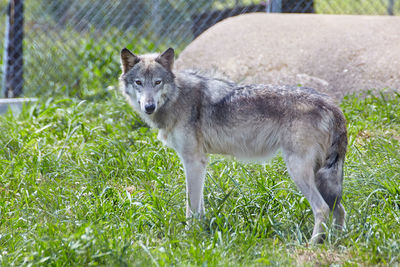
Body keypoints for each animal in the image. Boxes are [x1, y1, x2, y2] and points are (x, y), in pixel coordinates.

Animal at [118, 47, 346, 244]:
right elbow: (199, 205)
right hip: (321, 175)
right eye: (139, 82)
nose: (149, 106)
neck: (177, 97)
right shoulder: (200, 163)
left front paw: (189, 236)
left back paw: (313, 244)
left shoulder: (193, 161)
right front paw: (203, 232)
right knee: (339, 209)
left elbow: (191, 205)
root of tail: (331, 105)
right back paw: (336, 242)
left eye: (157, 82)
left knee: (322, 208)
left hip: (298, 171)